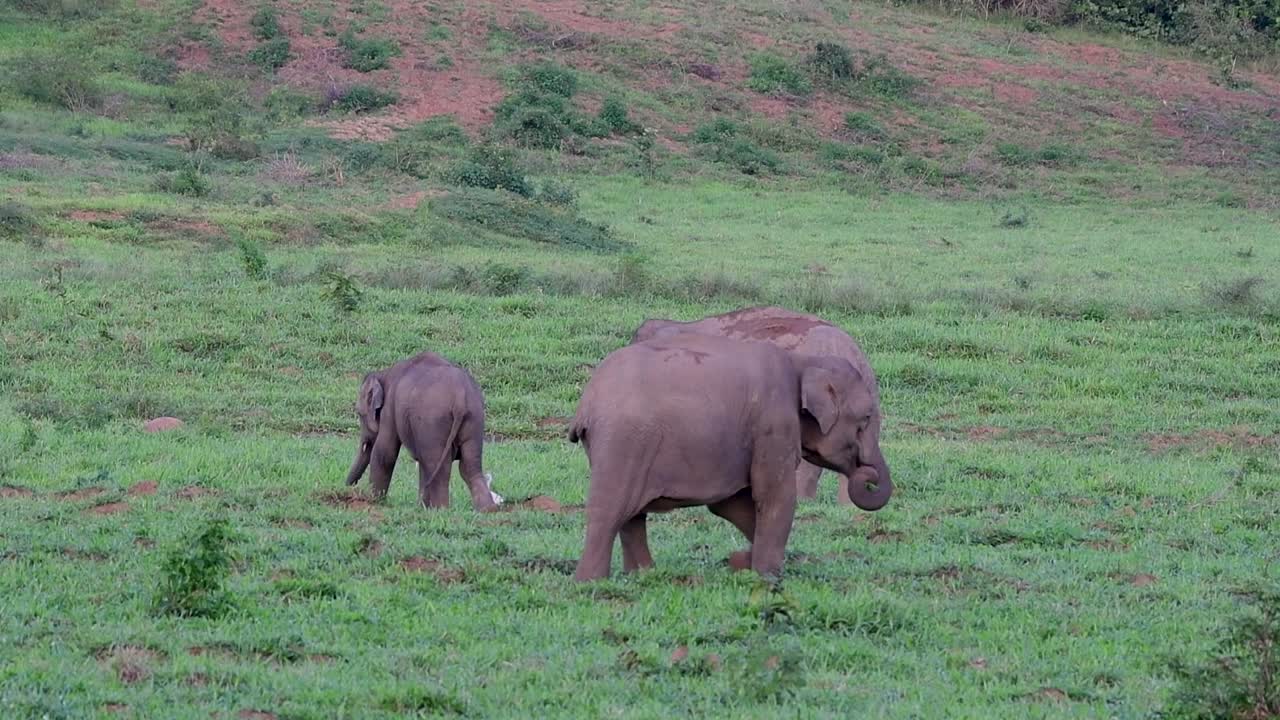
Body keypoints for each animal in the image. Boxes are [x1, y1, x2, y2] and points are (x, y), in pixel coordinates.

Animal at [345, 351, 502, 511]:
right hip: (475, 419)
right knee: (468, 465)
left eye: (359, 414)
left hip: (433, 422)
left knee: (439, 466)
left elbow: (385, 453)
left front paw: (375, 501)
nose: (349, 487)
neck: (384, 373)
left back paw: (441, 509)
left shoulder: (389, 408)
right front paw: (422, 506)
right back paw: (487, 509)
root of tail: (460, 399)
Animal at [568, 333, 883, 581]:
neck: (803, 361)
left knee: (632, 515)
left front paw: (744, 562)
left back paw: (644, 574)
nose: (870, 477)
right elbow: (775, 496)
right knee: (611, 510)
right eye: (866, 418)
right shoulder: (773, 424)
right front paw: (769, 576)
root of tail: (586, 403)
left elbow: (730, 504)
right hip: (624, 442)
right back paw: (590, 582)